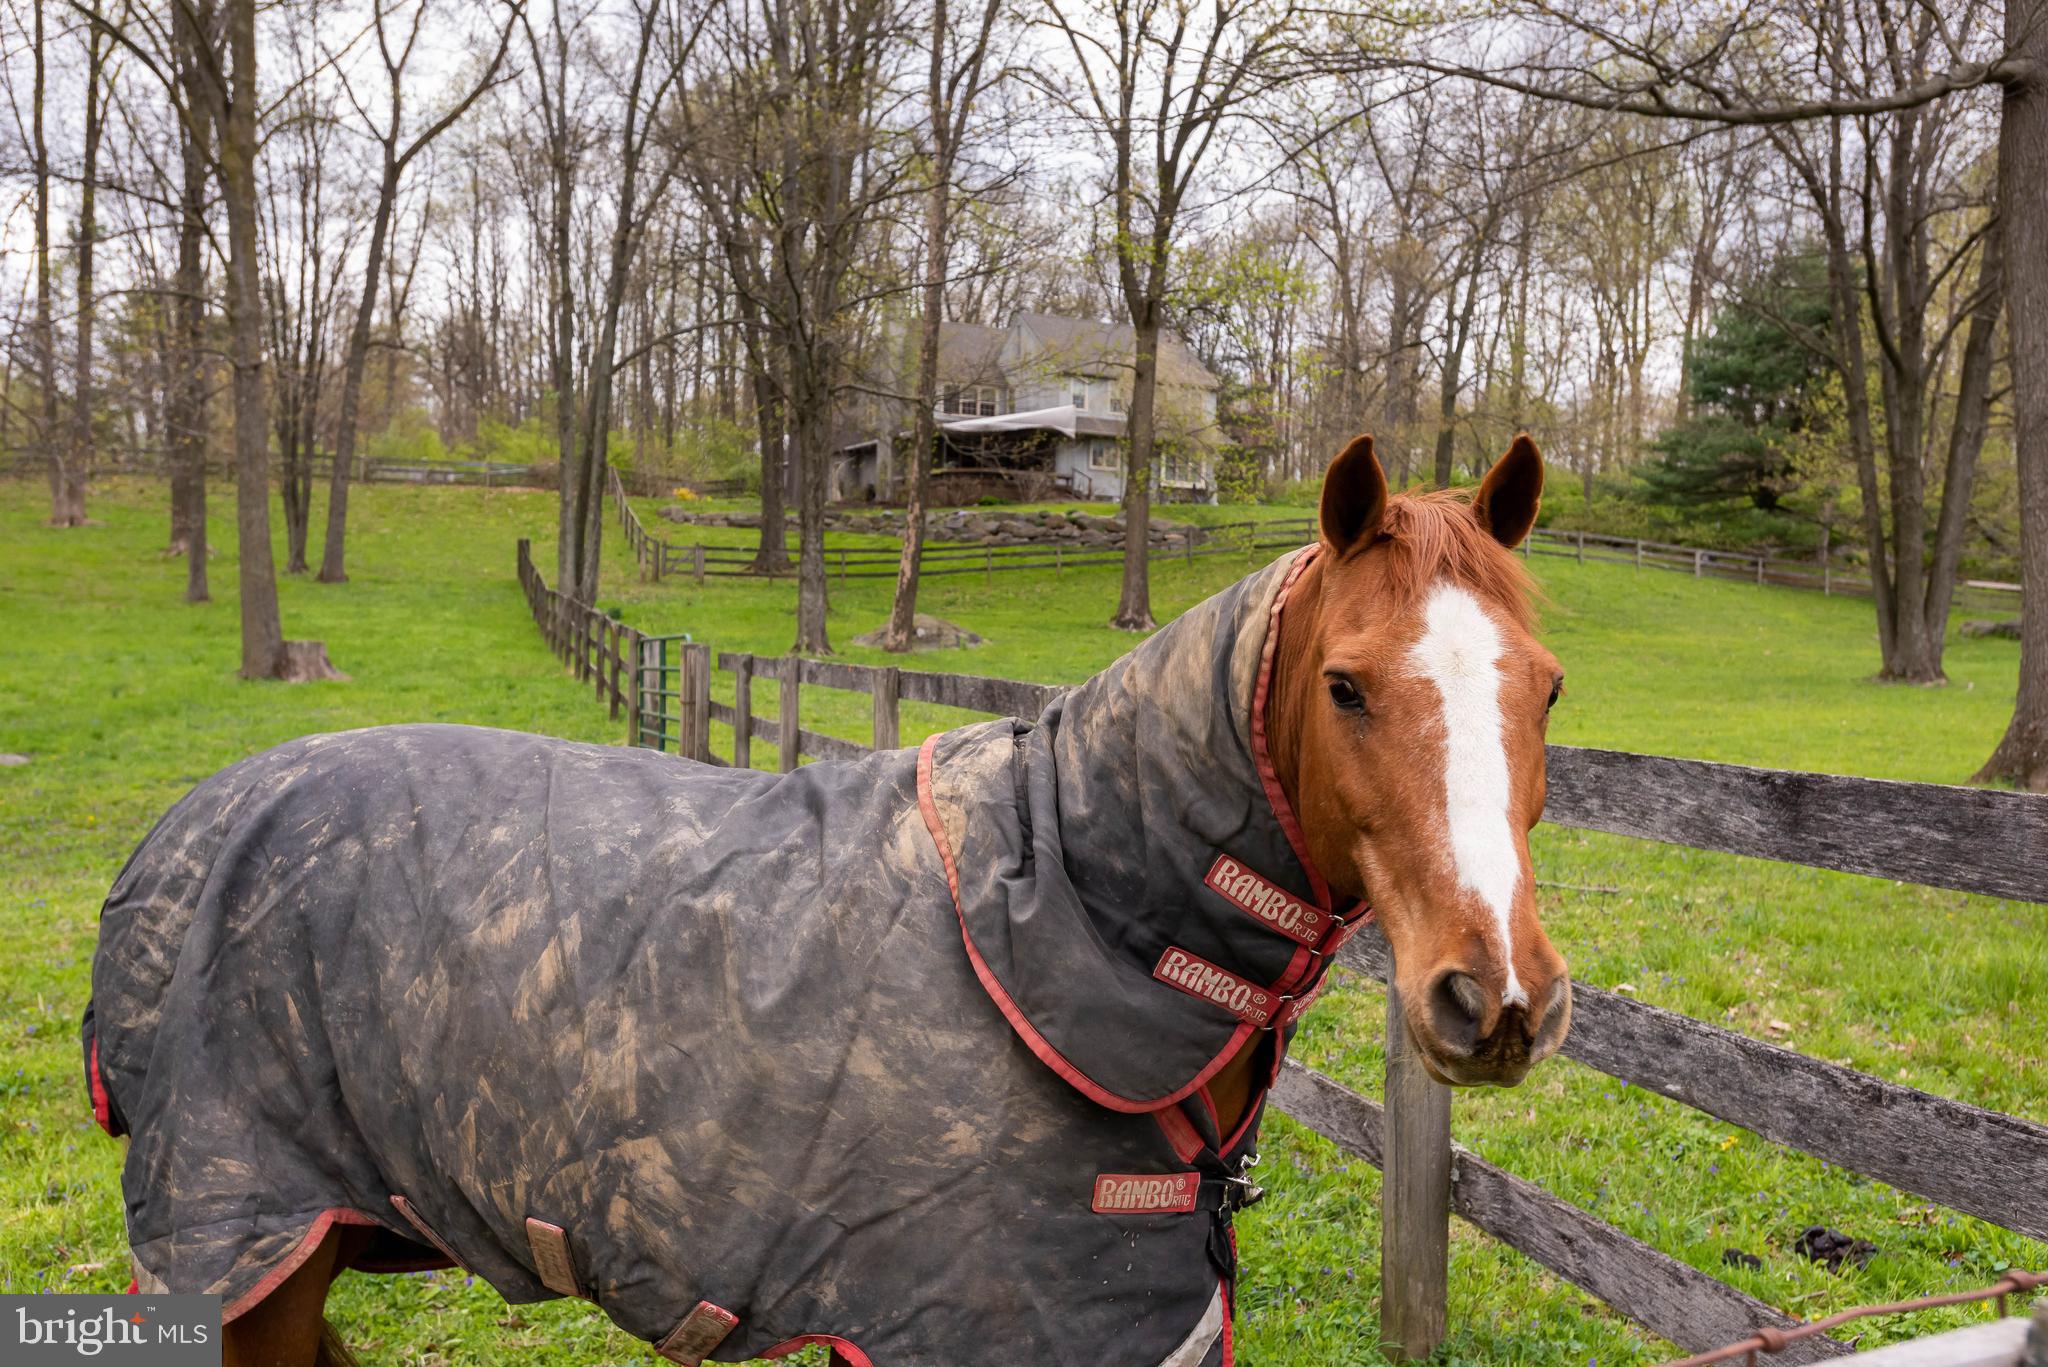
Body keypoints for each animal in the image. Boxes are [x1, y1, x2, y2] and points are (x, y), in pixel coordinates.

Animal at [82, 432, 1568, 1367]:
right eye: (1345, 684)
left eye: (1546, 685)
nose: (1496, 996)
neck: (1073, 909)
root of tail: (182, 827)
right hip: (239, 1248)